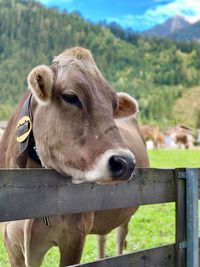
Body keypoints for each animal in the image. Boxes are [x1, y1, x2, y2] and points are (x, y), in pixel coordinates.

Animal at [0, 47, 141, 266]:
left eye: (113, 105)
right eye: (70, 97)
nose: (125, 162)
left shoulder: (75, 237)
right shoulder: (11, 243)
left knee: (119, 238)